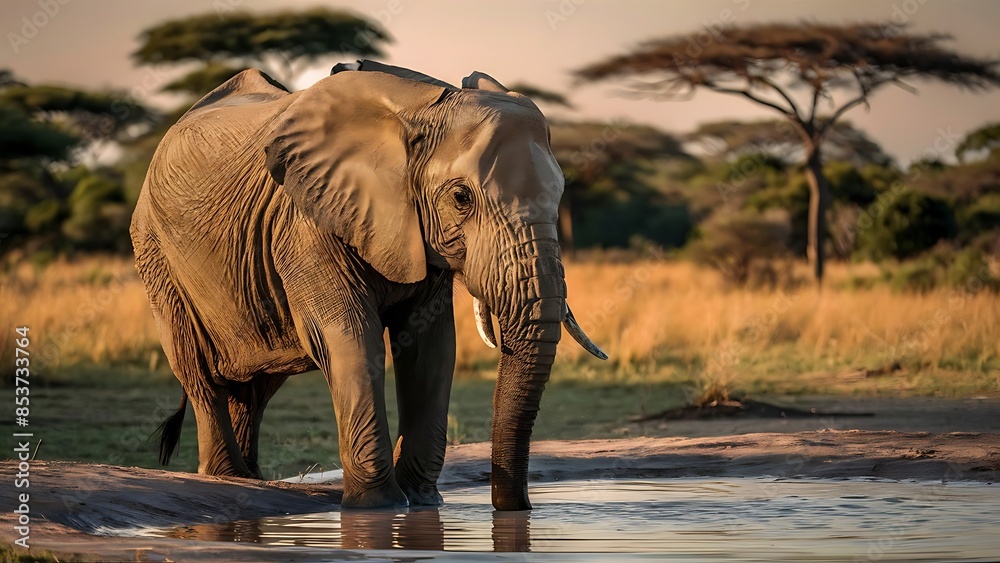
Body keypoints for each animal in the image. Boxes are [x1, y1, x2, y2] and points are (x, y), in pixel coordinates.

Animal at [130, 59, 606, 511]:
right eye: (461, 198)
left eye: (560, 195)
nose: (516, 508)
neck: (421, 109)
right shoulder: (308, 222)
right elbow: (351, 338)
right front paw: (380, 507)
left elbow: (431, 347)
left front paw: (423, 502)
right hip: (155, 252)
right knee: (198, 370)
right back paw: (228, 477)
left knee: (257, 384)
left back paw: (250, 480)